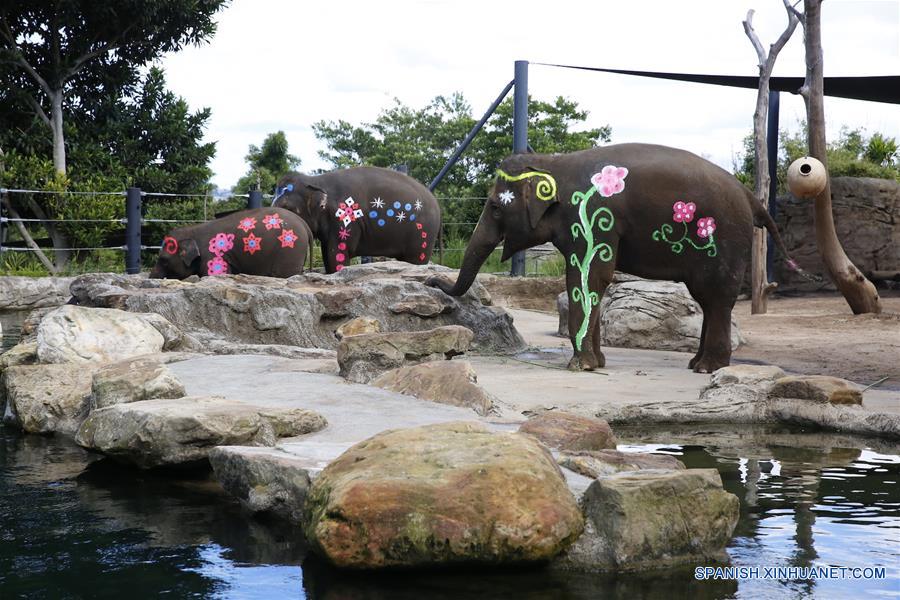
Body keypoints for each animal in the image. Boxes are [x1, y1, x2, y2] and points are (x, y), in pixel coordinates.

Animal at [148, 207, 312, 280]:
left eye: (164, 260)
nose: (150, 277)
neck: (192, 230)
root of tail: (304, 224)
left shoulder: (213, 256)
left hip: (290, 249)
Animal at [274, 168, 442, 274]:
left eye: (288, 208)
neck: (315, 181)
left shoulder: (345, 221)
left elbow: (337, 254)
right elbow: (326, 254)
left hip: (423, 233)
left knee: (416, 260)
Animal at [428, 143, 800, 372]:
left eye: (494, 207)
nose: (432, 280)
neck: (553, 162)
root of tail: (750, 197)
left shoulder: (591, 217)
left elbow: (587, 277)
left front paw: (580, 367)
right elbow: (594, 281)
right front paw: (598, 364)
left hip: (723, 239)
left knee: (716, 297)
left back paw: (708, 368)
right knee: (708, 300)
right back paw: (696, 364)